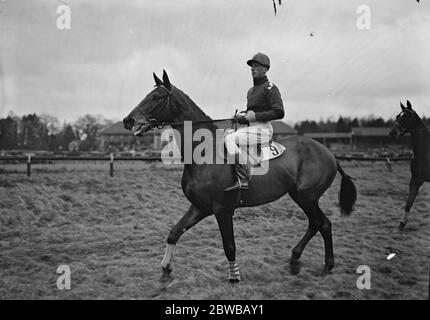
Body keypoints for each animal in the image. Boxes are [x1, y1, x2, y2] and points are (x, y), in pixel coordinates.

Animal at [122, 70, 358, 282]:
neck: (204, 153)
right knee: (317, 223)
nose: (128, 120)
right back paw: (301, 261)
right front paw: (165, 268)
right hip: (300, 196)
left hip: (307, 196)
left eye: (157, 97)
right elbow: (174, 232)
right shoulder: (199, 207)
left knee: (322, 223)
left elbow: (229, 246)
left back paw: (321, 264)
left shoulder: (222, 209)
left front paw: (234, 276)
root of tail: (329, 153)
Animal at [390, 100, 430, 230]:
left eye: (407, 116)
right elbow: (408, 203)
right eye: (397, 116)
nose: (392, 133)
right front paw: (401, 224)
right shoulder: (415, 180)